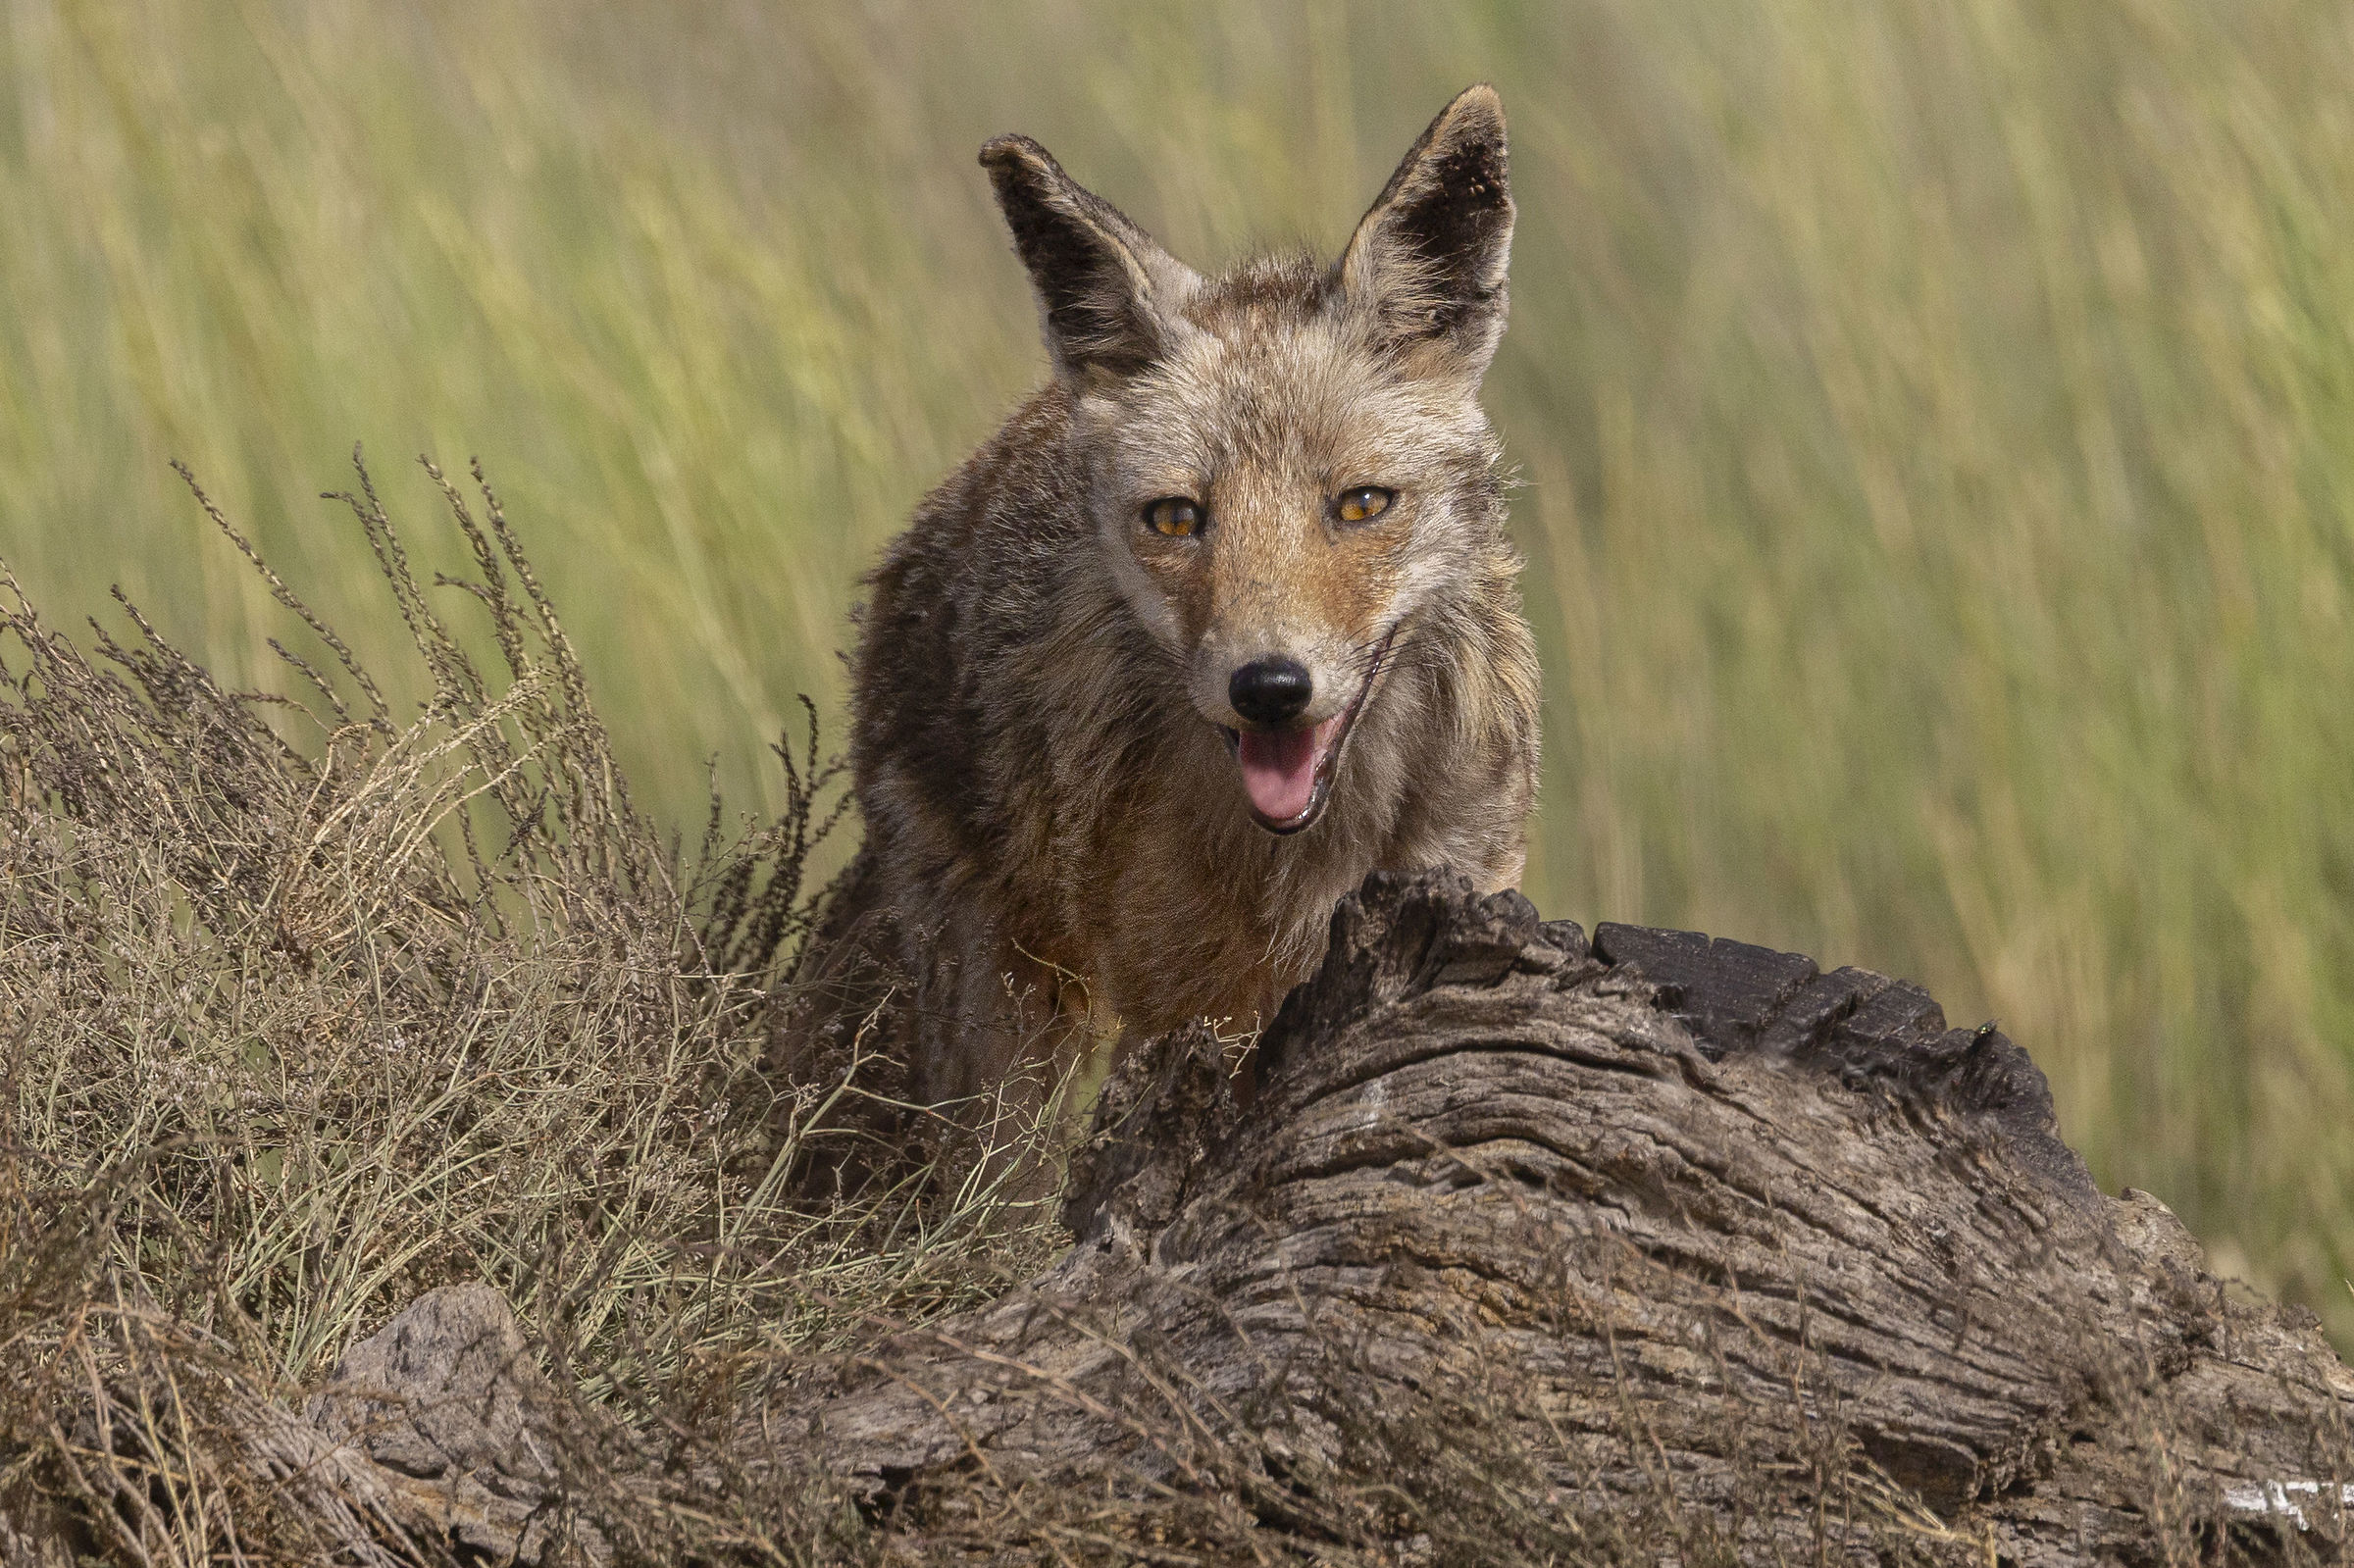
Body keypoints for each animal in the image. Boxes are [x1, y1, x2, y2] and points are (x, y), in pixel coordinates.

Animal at [842, 85, 1540, 1114]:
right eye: (1176, 518)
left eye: (1362, 504)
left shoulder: (1462, 892)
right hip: (1007, 1044)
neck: (1305, 871)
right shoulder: (1179, 1005)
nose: (1270, 688)